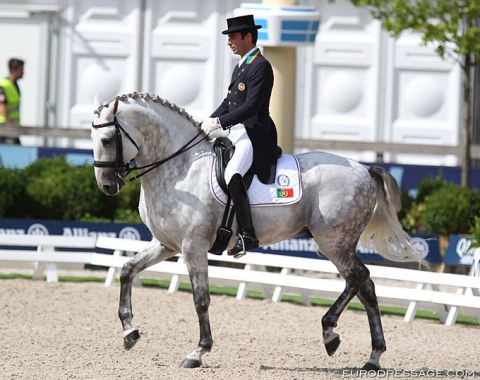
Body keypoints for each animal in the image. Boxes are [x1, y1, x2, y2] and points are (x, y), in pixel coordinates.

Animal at [90, 93, 420, 372]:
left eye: (106, 139)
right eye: (92, 138)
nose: (106, 186)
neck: (180, 168)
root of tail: (364, 169)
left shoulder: (193, 247)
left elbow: (200, 299)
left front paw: (198, 352)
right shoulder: (167, 244)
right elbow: (127, 269)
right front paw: (130, 332)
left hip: (333, 242)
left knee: (358, 278)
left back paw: (331, 333)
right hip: (338, 243)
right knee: (366, 287)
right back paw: (373, 357)